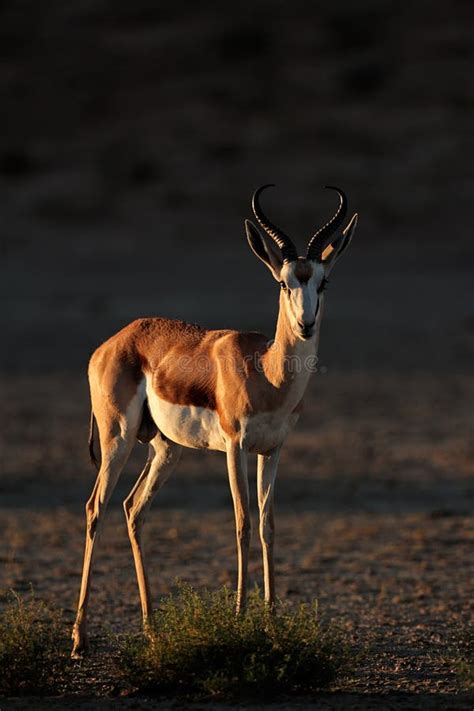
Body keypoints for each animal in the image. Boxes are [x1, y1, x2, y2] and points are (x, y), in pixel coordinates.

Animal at [72, 182, 358, 656]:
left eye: (324, 281)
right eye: (283, 282)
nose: (306, 324)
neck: (268, 374)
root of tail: (112, 342)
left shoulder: (273, 450)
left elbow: (267, 524)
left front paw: (272, 622)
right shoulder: (234, 447)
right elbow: (242, 522)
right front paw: (241, 618)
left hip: (165, 449)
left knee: (133, 509)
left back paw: (152, 629)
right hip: (118, 438)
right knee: (97, 507)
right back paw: (78, 639)